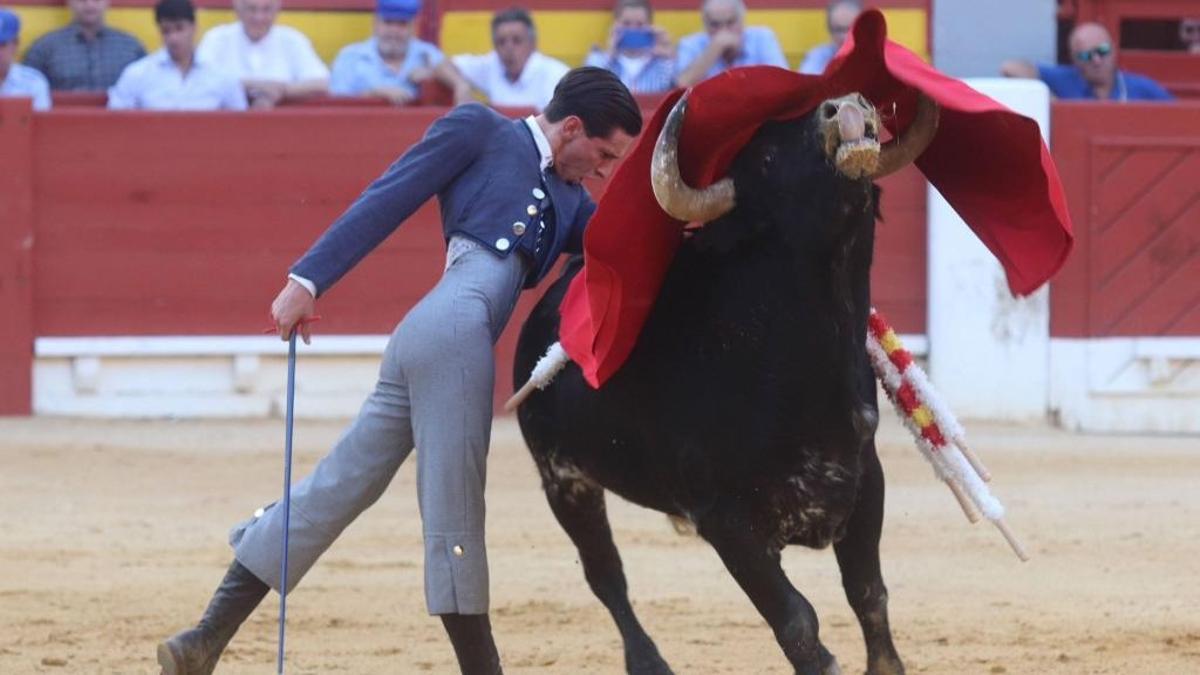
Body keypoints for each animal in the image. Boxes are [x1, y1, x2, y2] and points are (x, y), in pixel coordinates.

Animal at [511, 94, 931, 672]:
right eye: (767, 159)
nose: (846, 105)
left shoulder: (865, 484)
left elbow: (869, 594)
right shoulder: (728, 525)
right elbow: (797, 620)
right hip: (564, 479)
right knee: (605, 575)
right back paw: (648, 661)